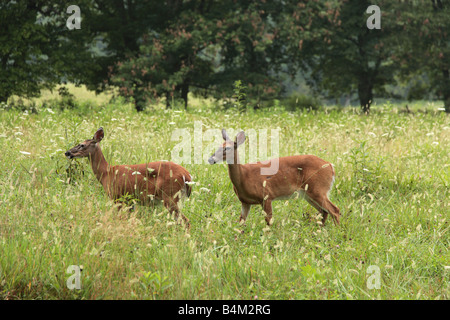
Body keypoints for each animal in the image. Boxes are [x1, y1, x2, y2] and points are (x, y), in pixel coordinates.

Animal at [208, 129, 342, 226]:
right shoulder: (245, 202)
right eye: (218, 146)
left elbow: (269, 222)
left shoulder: (267, 195)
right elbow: (241, 222)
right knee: (324, 211)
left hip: (318, 189)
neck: (244, 177)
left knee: (334, 210)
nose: (210, 159)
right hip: (308, 194)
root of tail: (331, 166)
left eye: (227, 148)